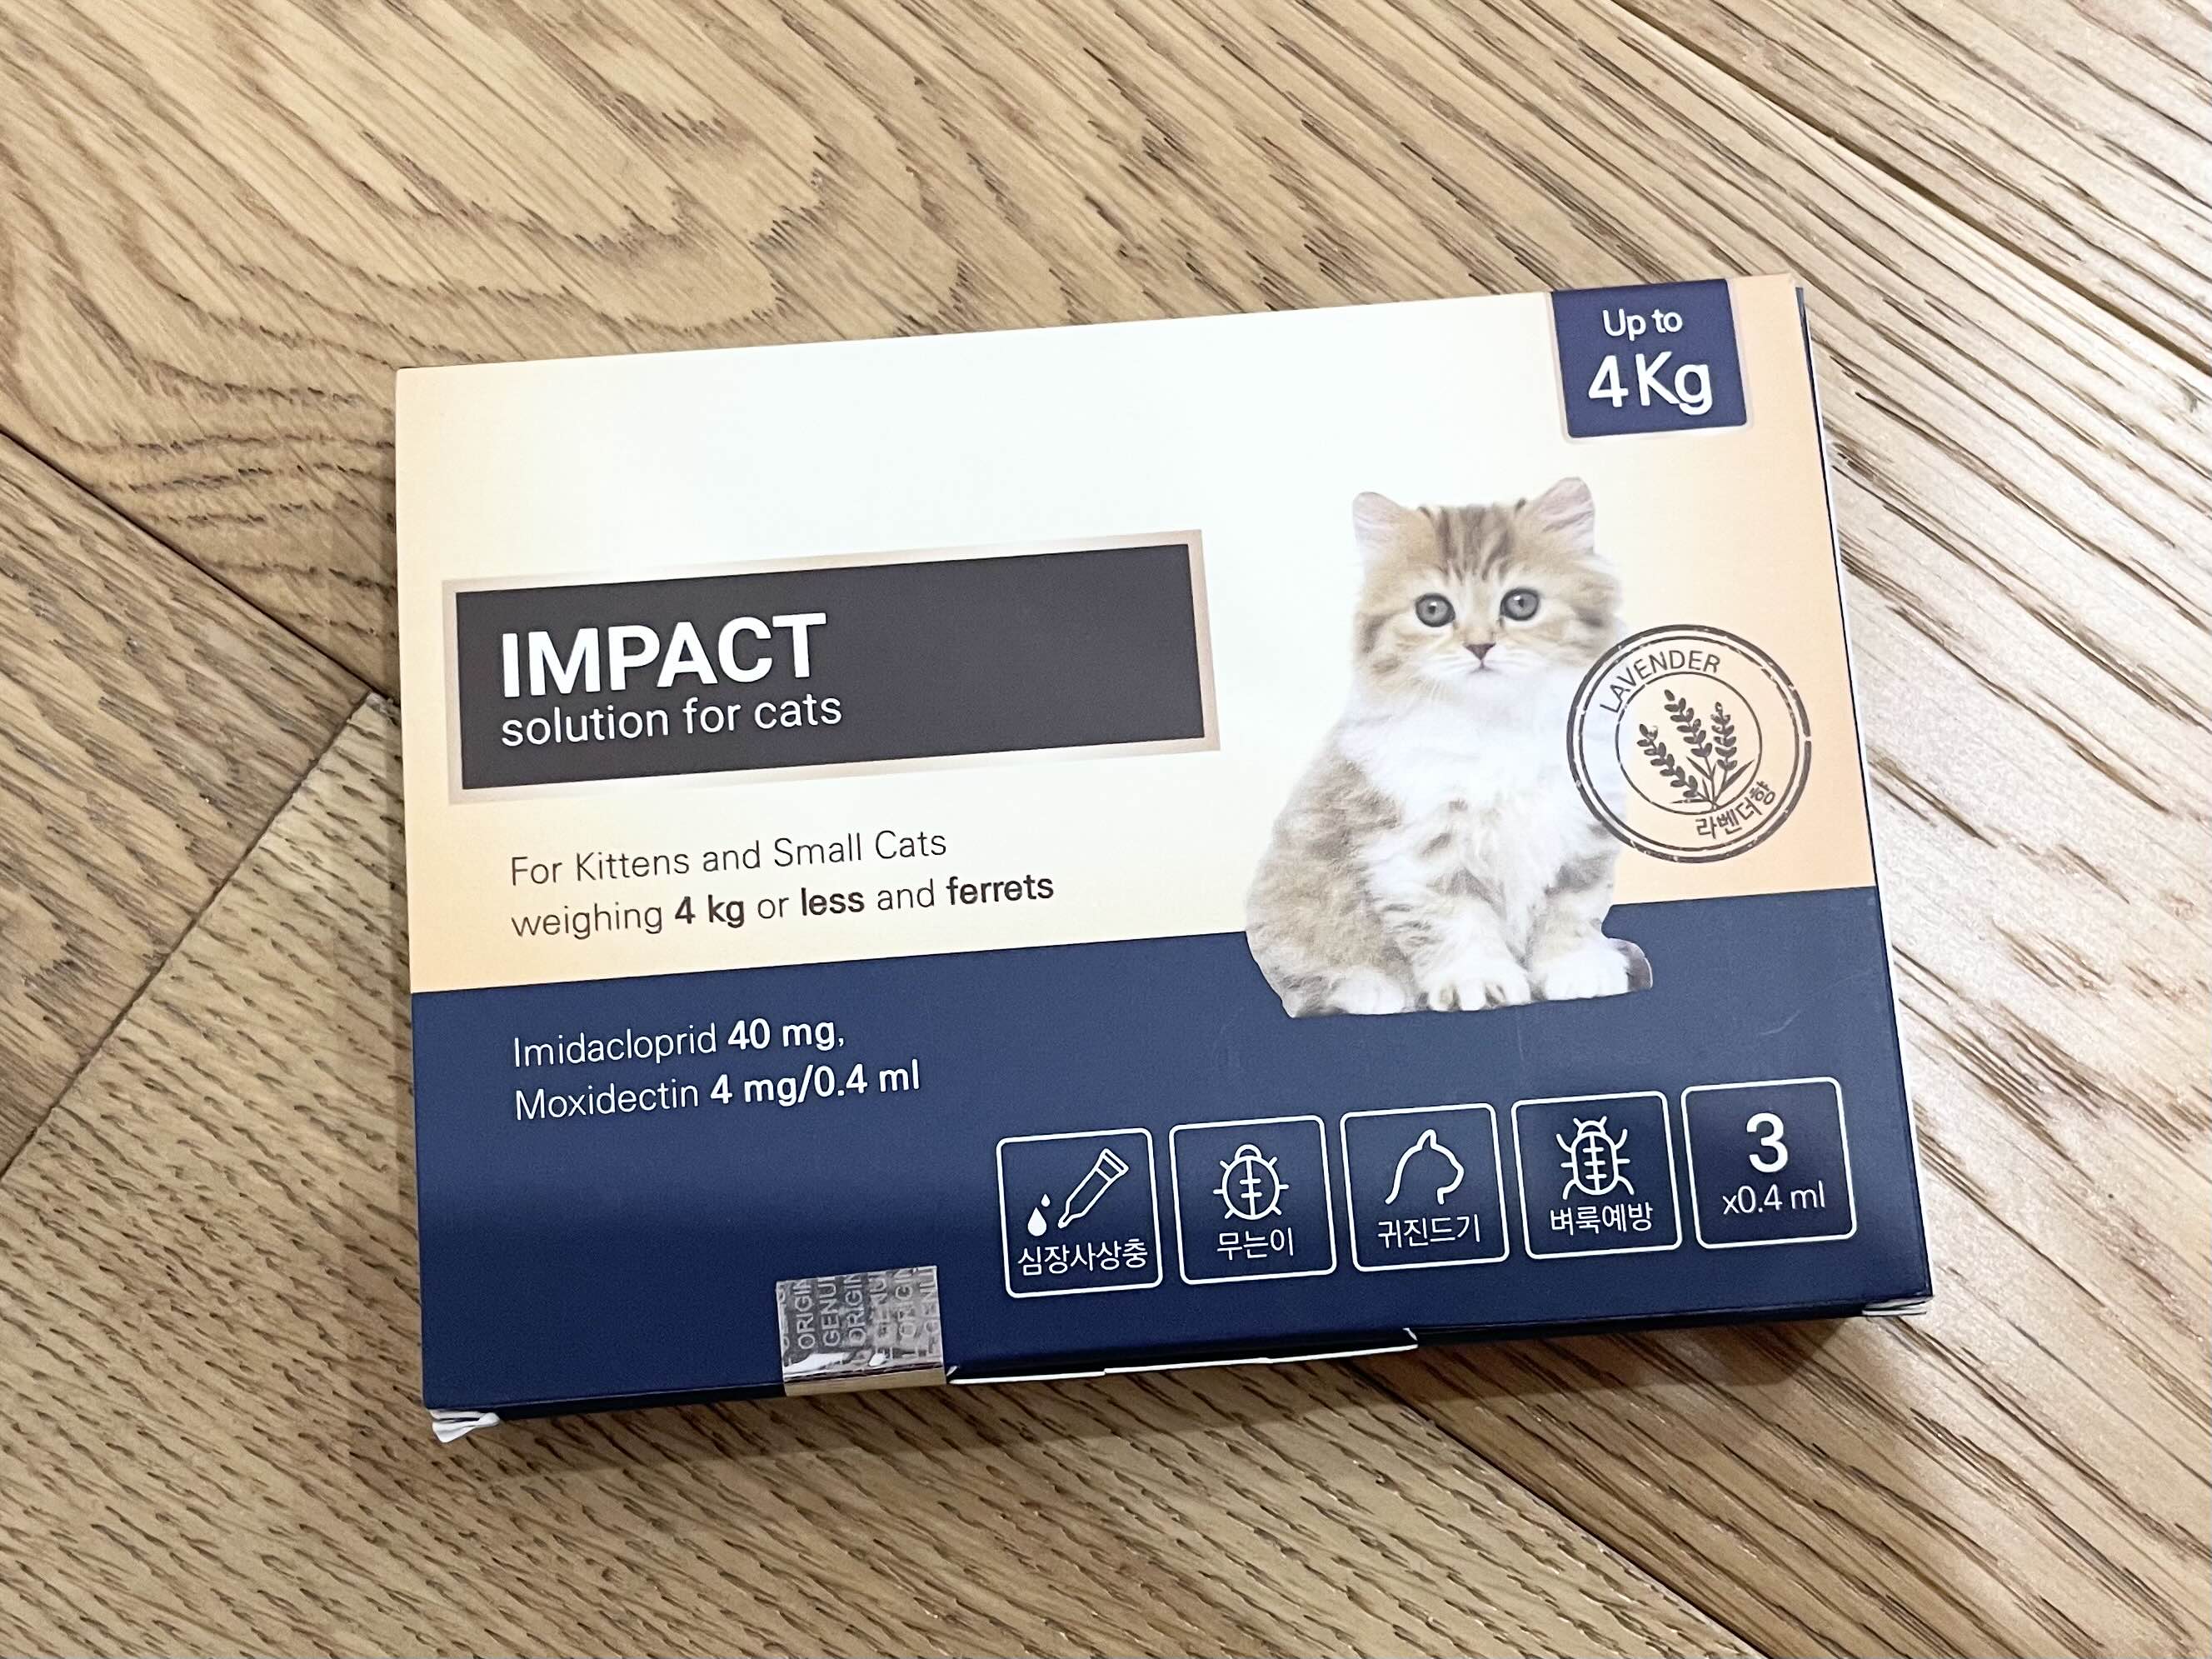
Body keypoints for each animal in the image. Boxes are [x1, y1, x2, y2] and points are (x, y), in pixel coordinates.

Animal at [1245, 479, 1650, 1017]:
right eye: (1433, 610)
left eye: (1521, 604)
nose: (1479, 646)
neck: (1499, 728)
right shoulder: (1414, 844)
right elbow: (1454, 918)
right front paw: (1479, 982)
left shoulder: (1582, 833)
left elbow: (1572, 907)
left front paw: (1578, 968)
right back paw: (1370, 990)